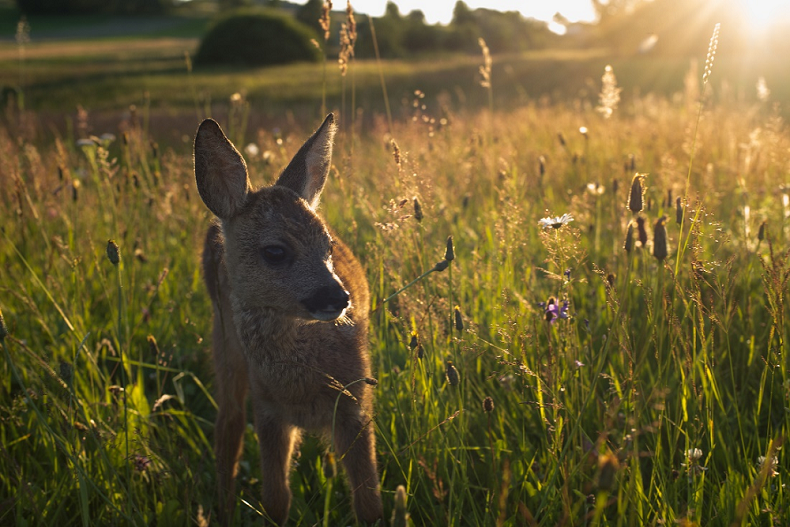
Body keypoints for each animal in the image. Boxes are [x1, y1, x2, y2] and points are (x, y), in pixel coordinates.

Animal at [196, 113, 386, 524]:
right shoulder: (269, 410)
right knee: (228, 424)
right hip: (224, 344)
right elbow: (276, 499)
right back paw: (223, 507)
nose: (339, 297)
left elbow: (369, 503)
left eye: (328, 246)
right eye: (275, 251)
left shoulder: (355, 403)